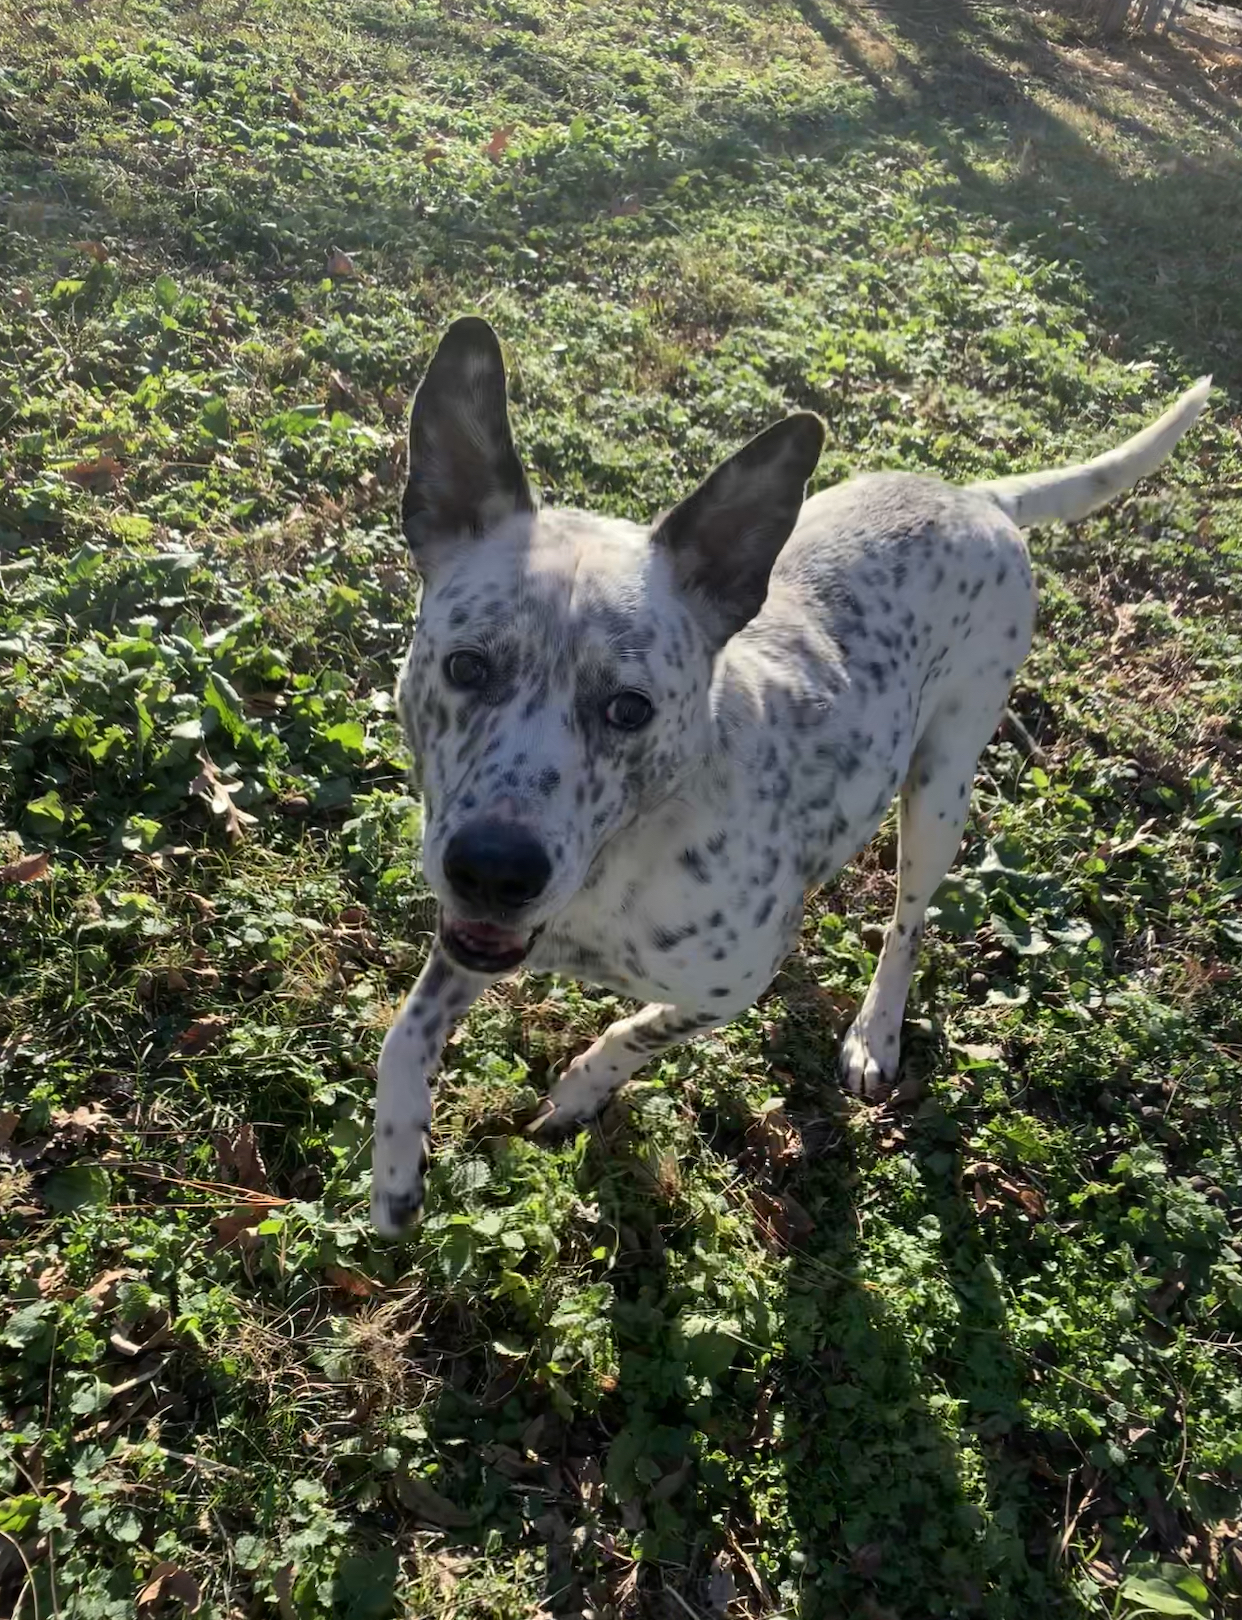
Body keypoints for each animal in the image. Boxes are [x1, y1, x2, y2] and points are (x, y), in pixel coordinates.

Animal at [372, 312, 1217, 1224]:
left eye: (629, 708)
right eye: (466, 666)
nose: (496, 869)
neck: (618, 867)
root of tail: (980, 499)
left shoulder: (731, 985)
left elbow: (632, 1033)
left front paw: (577, 1092)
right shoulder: (469, 935)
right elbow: (404, 1034)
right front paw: (396, 1170)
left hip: (941, 792)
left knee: (906, 924)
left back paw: (875, 1032)